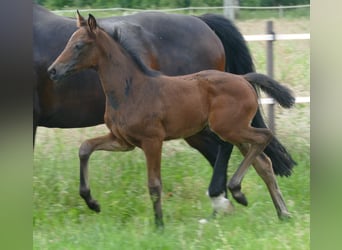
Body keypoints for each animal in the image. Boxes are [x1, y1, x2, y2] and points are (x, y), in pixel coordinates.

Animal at [34, 3, 294, 213]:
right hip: (226, 128)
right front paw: (92, 202)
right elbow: (85, 148)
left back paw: (232, 195)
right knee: (259, 158)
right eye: (67, 42)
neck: (131, 87)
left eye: (78, 45)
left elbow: (154, 184)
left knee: (244, 143)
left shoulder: (151, 140)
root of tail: (243, 79)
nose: (53, 71)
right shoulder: (123, 141)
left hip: (218, 128)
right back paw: (269, 209)